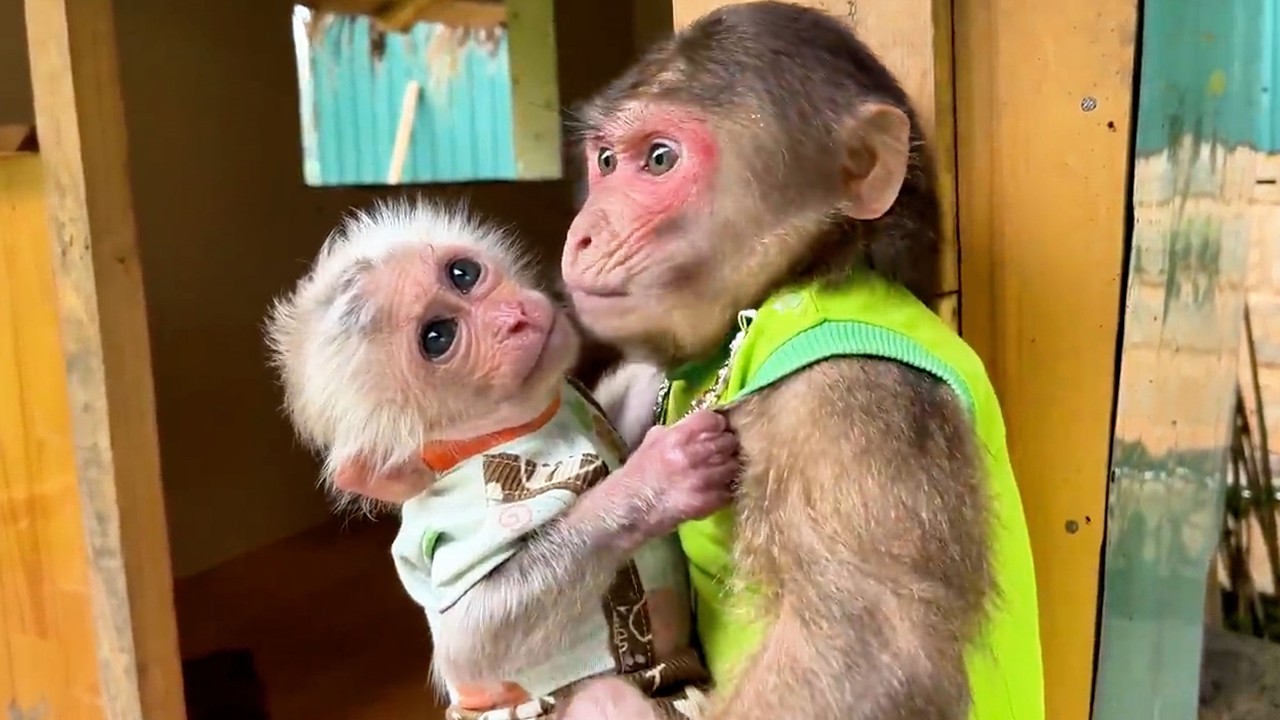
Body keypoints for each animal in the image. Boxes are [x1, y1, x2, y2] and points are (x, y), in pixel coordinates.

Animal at [263, 198, 736, 720]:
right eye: (437, 337)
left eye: (463, 274)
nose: (514, 318)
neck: (521, 425)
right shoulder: (459, 515)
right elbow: (469, 643)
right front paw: (658, 480)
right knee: (602, 699)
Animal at [556, 3, 1046, 720]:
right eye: (608, 161)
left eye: (659, 159)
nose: (584, 232)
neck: (805, 273)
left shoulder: (846, 396)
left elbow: (868, 652)